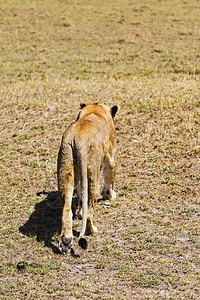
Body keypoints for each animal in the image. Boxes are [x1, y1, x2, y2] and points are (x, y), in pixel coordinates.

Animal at [57, 103, 118, 253]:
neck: (94, 110)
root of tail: (78, 140)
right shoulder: (111, 153)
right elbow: (109, 174)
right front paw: (110, 195)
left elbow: (80, 196)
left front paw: (79, 213)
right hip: (92, 172)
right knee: (89, 209)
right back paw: (92, 230)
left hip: (65, 168)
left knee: (66, 207)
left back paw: (66, 241)